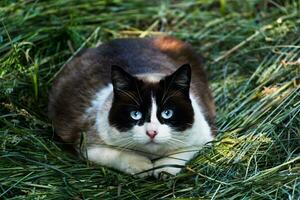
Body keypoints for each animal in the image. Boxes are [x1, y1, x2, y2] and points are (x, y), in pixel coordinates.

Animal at [48, 36, 216, 178]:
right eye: (135, 114)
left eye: (167, 113)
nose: (152, 132)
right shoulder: (88, 146)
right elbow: (117, 155)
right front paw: (142, 166)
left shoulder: (204, 137)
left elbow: (182, 152)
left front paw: (163, 169)